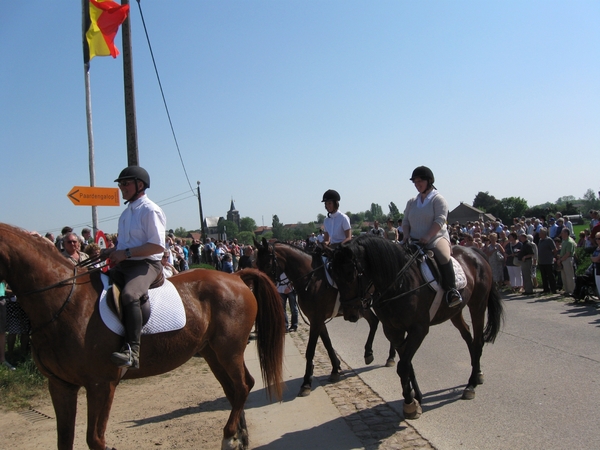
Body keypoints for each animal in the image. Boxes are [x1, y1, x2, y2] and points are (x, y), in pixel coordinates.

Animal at [0, 225, 286, 450]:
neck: (64, 301)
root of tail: (235, 277)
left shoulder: (101, 384)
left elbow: (95, 440)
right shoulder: (60, 385)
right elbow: (65, 440)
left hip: (229, 350)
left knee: (243, 386)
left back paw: (229, 437)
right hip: (212, 352)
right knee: (234, 390)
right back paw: (239, 436)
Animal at [326, 236, 504, 418]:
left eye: (350, 274)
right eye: (333, 275)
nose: (349, 314)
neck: (398, 284)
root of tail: (473, 251)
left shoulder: (418, 329)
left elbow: (403, 365)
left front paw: (410, 404)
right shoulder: (393, 330)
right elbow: (406, 363)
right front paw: (414, 396)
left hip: (478, 306)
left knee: (478, 341)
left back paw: (471, 384)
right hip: (455, 312)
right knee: (469, 337)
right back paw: (478, 373)